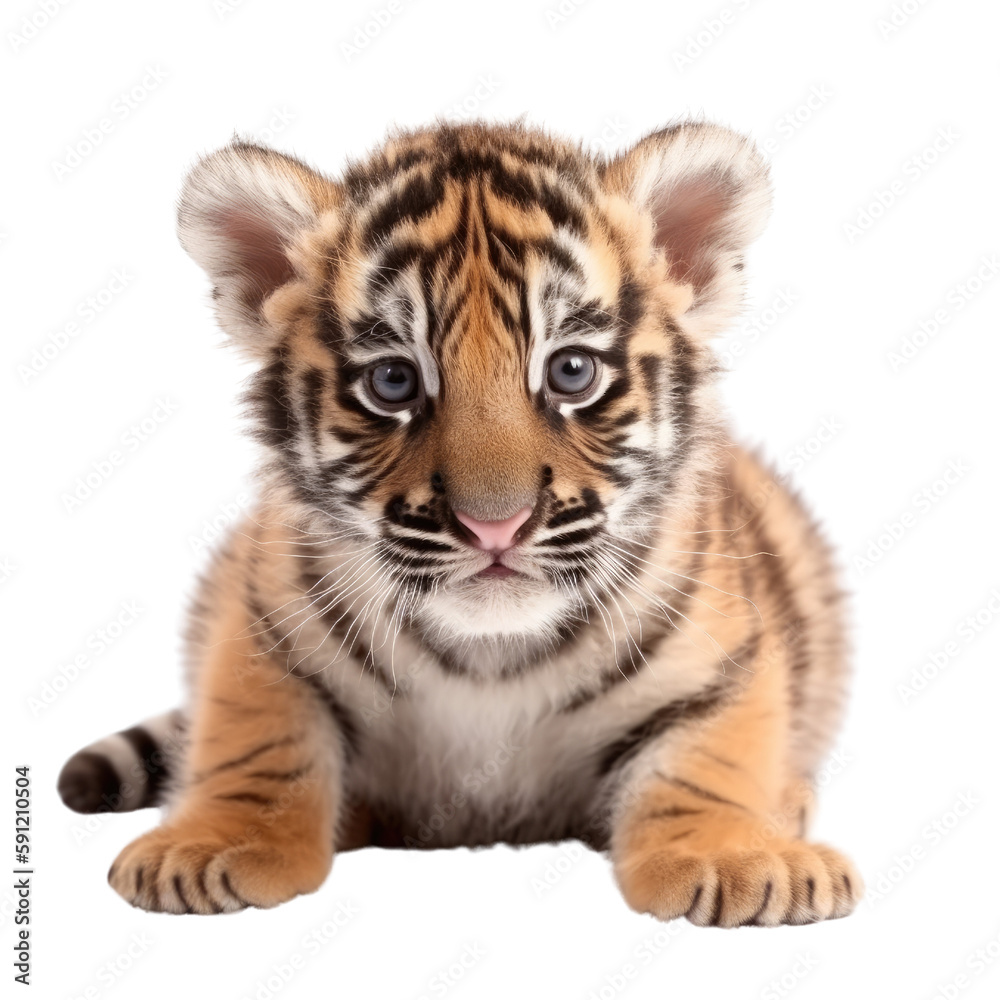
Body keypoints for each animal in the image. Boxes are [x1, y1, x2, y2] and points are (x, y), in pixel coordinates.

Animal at [58, 118, 862, 926]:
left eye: (571, 372)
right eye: (393, 381)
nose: (494, 526)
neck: (490, 656)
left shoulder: (721, 660)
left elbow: (710, 761)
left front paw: (740, 859)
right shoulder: (262, 629)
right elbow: (259, 742)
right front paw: (211, 846)